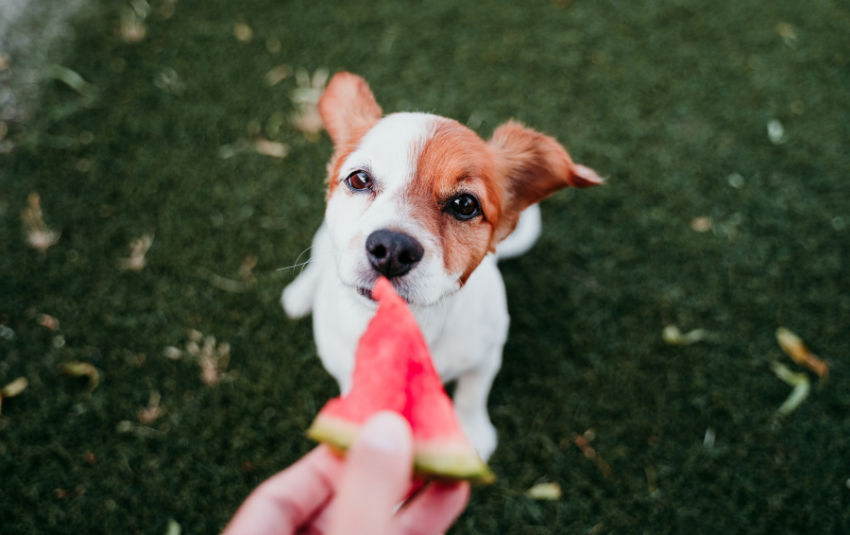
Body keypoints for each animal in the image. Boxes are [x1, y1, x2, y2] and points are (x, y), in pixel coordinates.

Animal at [282, 72, 600, 460]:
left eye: (465, 204)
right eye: (359, 179)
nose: (392, 249)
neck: (417, 324)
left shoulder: (486, 355)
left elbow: (471, 395)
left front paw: (472, 435)